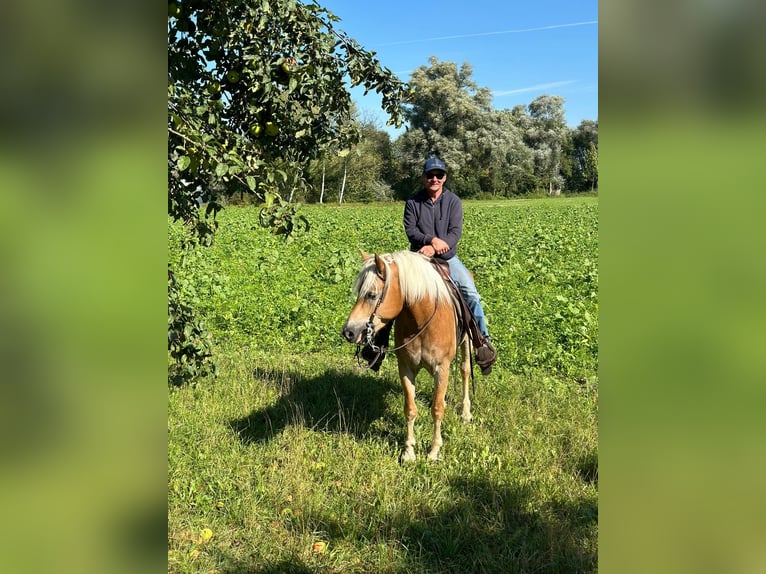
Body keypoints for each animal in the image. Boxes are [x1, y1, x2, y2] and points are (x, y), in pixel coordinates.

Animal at [344, 251, 474, 464]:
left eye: (371, 294)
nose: (348, 332)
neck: (422, 320)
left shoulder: (442, 368)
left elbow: (437, 409)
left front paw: (433, 451)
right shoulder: (406, 368)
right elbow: (410, 409)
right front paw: (408, 451)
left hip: (466, 344)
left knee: (465, 371)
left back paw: (465, 413)